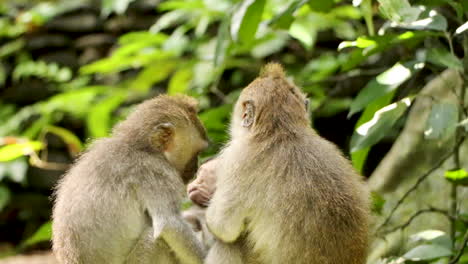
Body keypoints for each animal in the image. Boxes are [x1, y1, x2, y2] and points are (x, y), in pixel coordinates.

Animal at [51, 95, 210, 264]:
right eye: (197, 153)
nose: (196, 167)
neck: (140, 147)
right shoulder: (156, 172)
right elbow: (170, 224)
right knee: (157, 241)